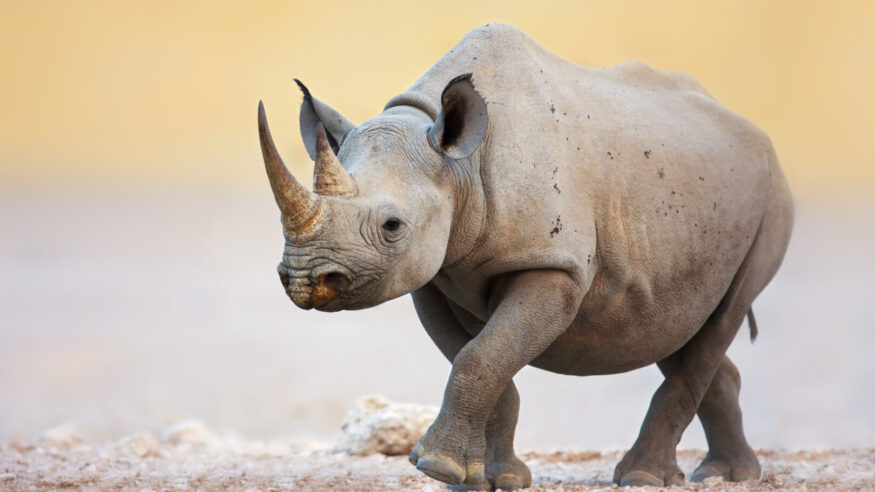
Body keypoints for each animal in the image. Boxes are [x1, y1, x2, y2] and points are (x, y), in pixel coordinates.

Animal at [257, 24, 793, 490]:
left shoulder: (554, 265)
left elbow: (481, 356)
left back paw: (644, 477)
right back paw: (726, 474)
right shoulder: (433, 275)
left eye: (392, 226)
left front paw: (435, 466)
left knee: (723, 315)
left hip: (770, 199)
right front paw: (487, 478)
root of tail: (753, 132)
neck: (458, 165)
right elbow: (481, 358)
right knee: (676, 326)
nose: (305, 279)